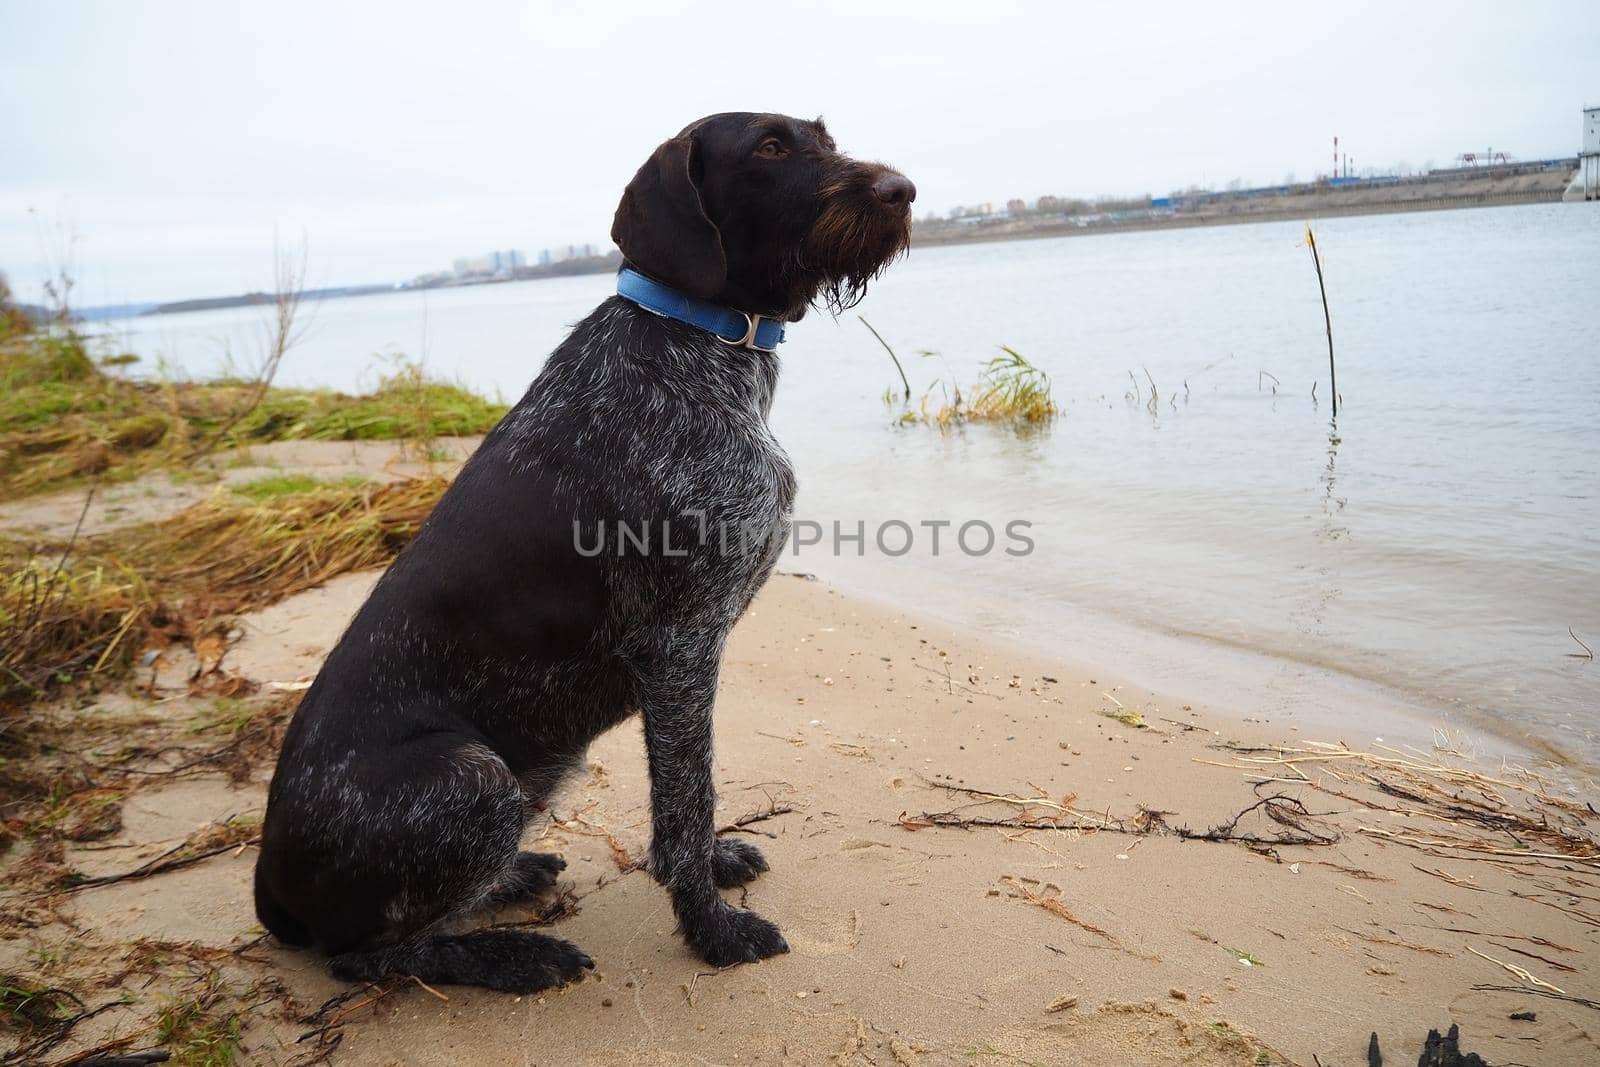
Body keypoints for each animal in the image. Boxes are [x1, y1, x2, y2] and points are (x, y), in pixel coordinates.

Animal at [256, 115, 921, 991]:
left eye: (824, 137)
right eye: (771, 149)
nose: (902, 190)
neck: (693, 338)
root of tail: (266, 881)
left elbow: (688, 800)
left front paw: (713, 871)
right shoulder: (679, 647)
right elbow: (687, 804)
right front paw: (711, 927)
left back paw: (512, 877)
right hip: (474, 777)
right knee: (367, 956)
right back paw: (513, 954)